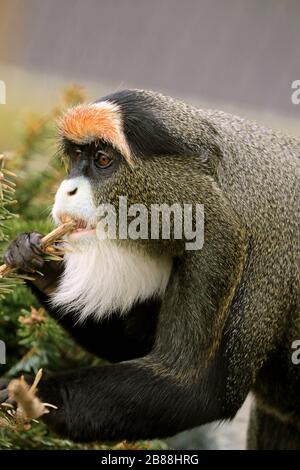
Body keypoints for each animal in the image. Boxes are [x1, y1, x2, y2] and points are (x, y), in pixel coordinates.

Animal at [0, 91, 300, 448]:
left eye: (103, 159)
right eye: (76, 156)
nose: (67, 189)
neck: (216, 184)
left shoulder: (231, 242)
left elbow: (194, 388)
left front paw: (31, 394)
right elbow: (137, 344)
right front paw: (36, 261)